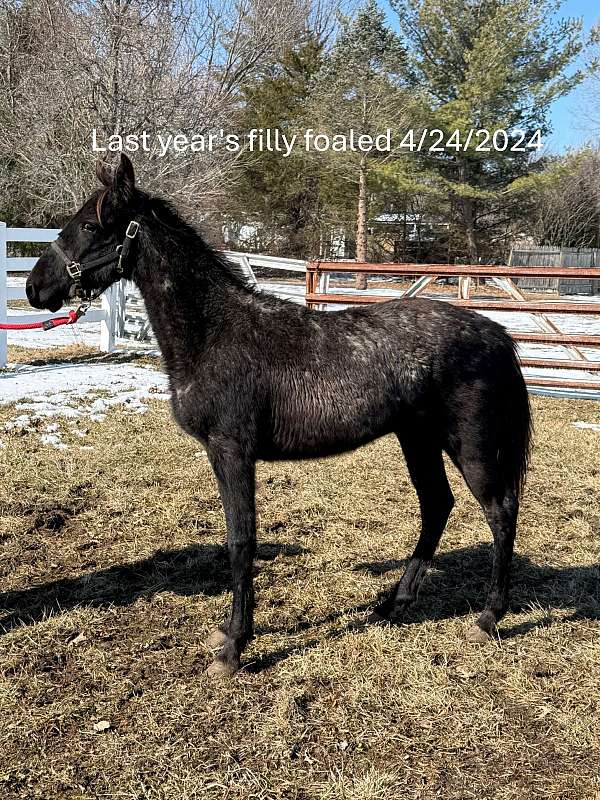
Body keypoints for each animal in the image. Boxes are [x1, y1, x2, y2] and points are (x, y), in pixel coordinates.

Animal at [28, 155, 532, 676]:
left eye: (91, 225)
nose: (34, 287)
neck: (215, 333)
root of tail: (496, 333)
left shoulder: (231, 452)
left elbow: (241, 541)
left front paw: (234, 648)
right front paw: (229, 634)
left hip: (469, 444)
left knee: (500, 511)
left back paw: (488, 618)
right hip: (417, 438)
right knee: (437, 504)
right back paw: (396, 603)